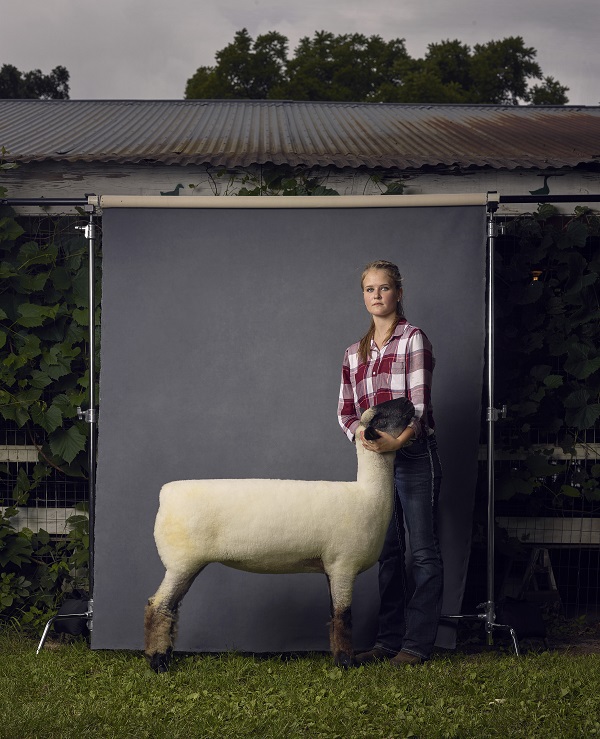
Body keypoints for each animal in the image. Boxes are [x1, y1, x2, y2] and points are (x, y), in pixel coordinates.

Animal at [144, 396, 414, 672]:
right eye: (379, 417)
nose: (407, 400)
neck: (368, 495)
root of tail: (166, 494)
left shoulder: (331, 566)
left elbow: (333, 614)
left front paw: (340, 658)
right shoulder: (343, 564)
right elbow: (343, 616)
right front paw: (345, 662)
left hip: (187, 564)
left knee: (170, 608)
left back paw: (165, 656)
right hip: (181, 562)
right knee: (158, 607)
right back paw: (158, 663)